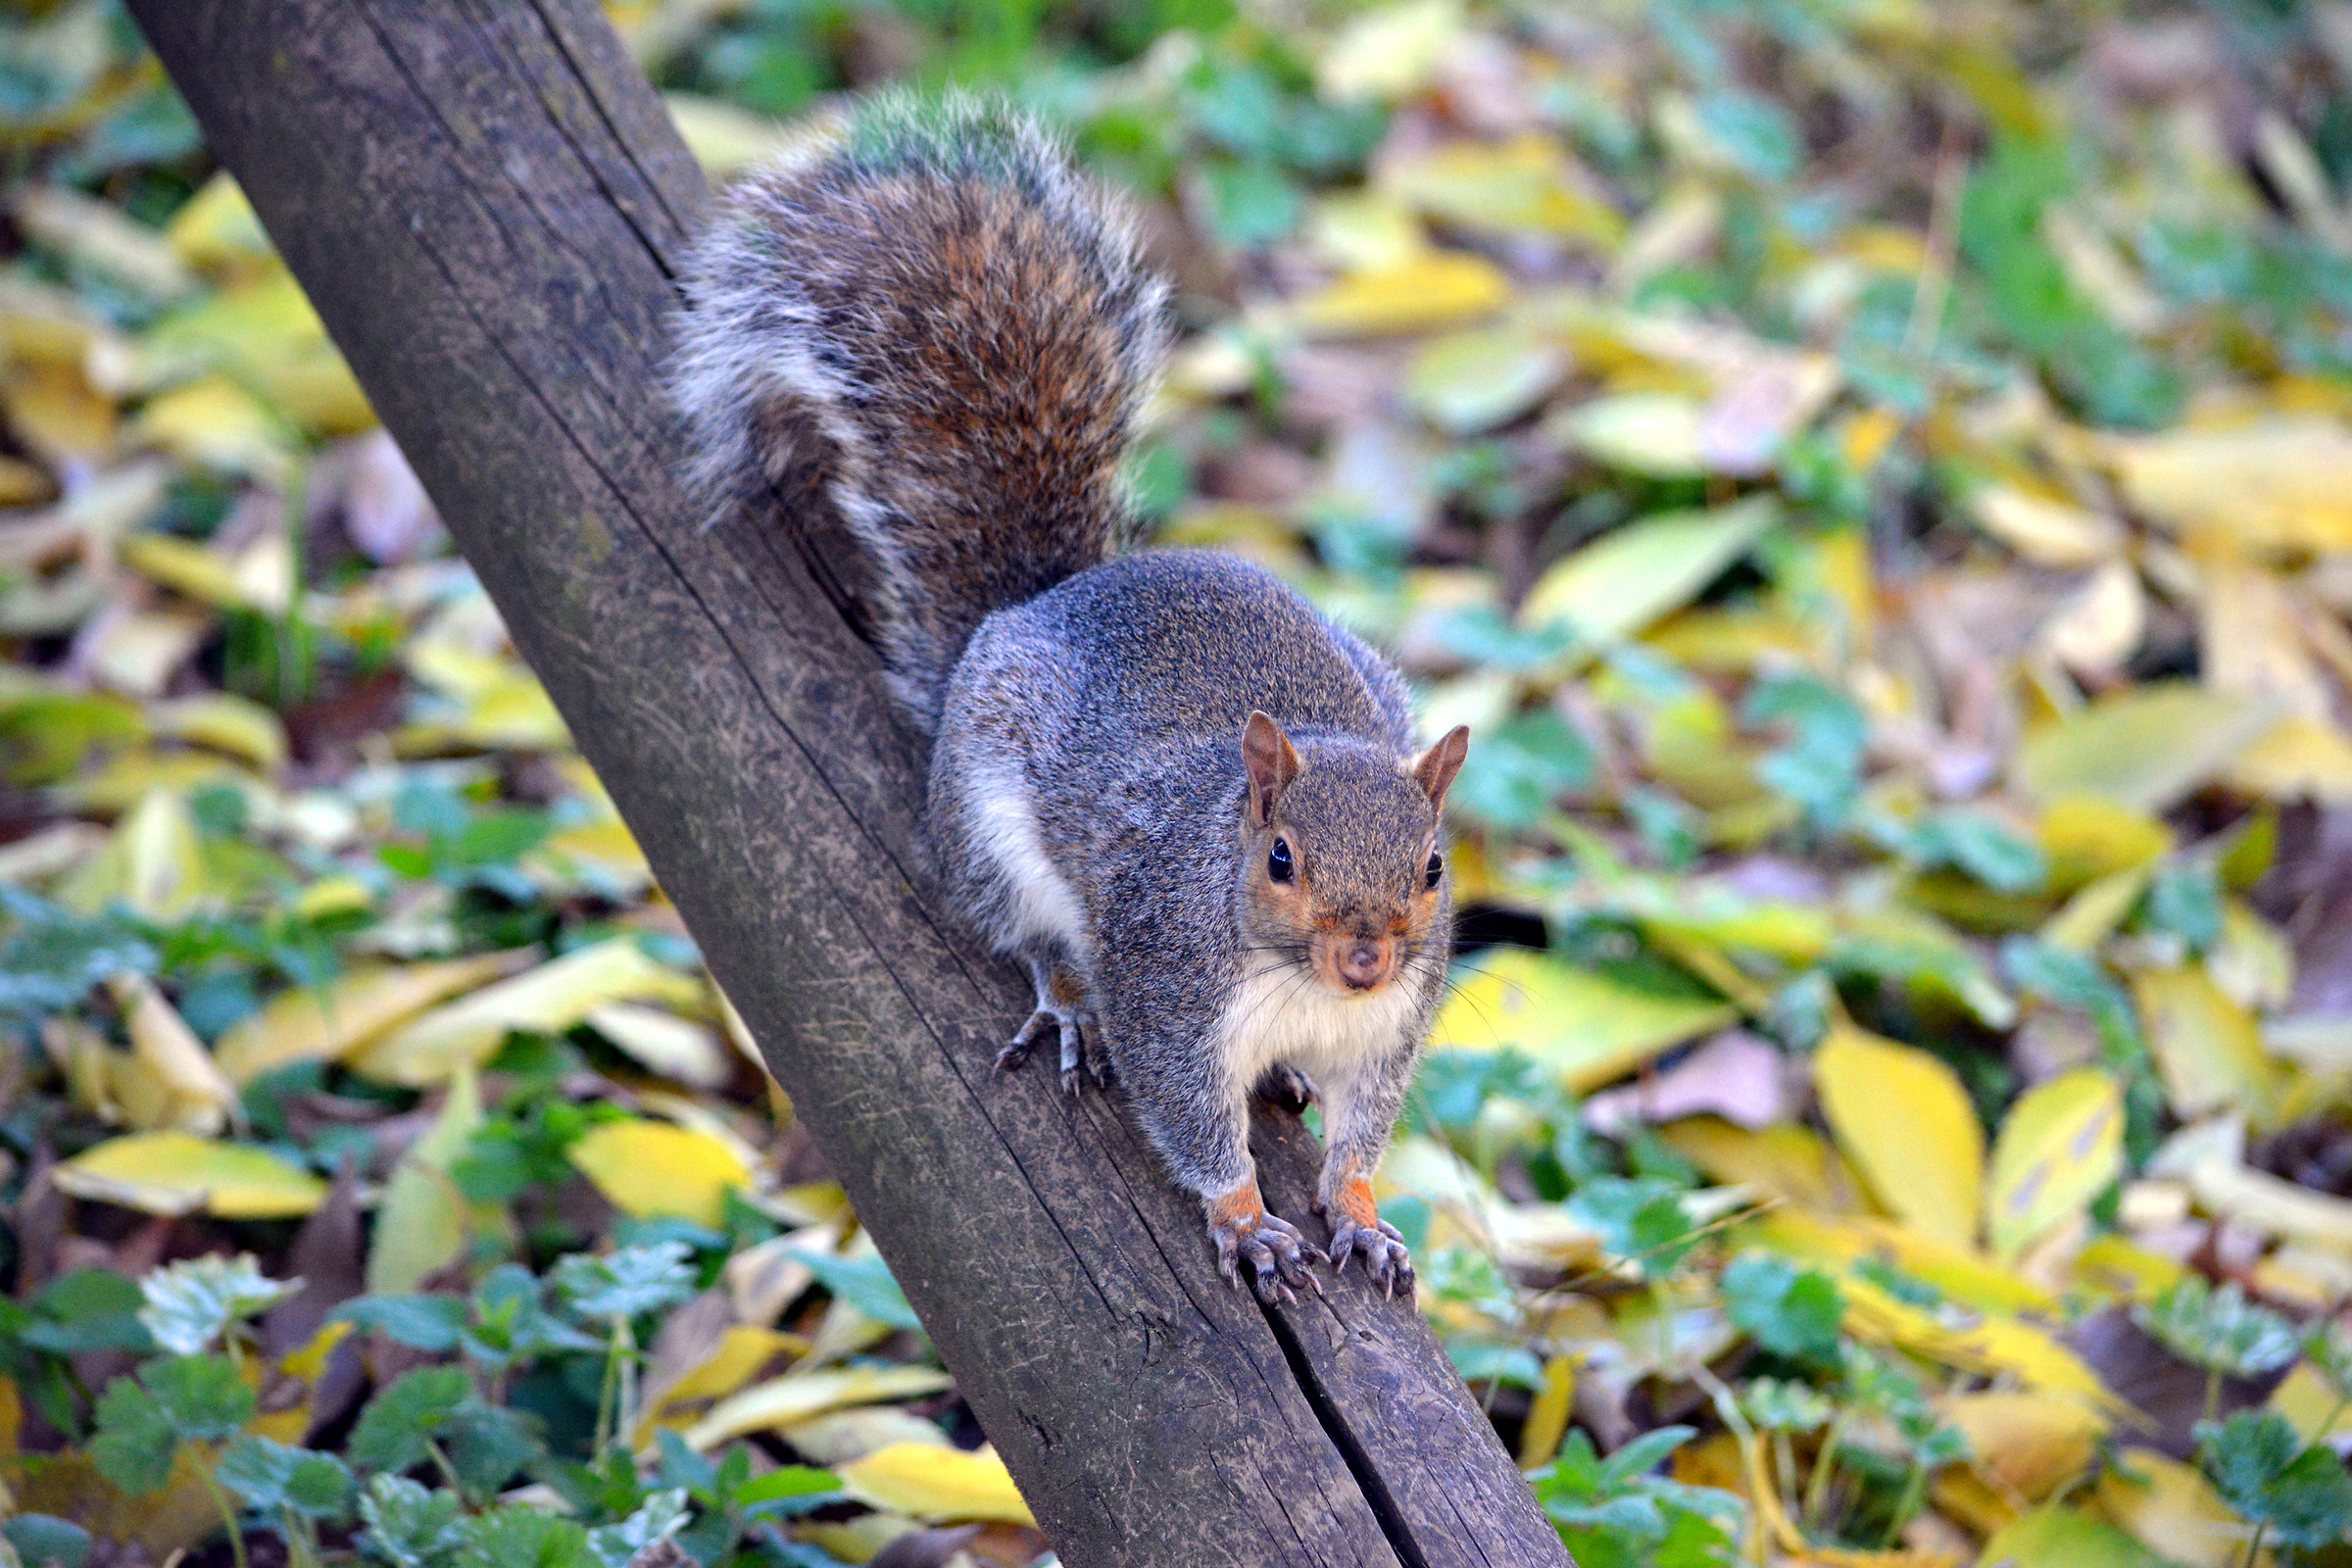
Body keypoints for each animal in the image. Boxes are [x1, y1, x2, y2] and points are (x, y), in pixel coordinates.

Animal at [671, 93, 1468, 1303]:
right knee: (1029, 934)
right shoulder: (1167, 996)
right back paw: (1066, 1010)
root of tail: (1036, 602)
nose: (1368, 960)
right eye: (1281, 859)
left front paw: (1362, 1215)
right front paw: (1248, 1222)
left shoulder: (1389, 1034)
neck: (1307, 990)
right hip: (993, 827)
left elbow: (1362, 1137)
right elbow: (1193, 1125)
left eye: (1431, 867)